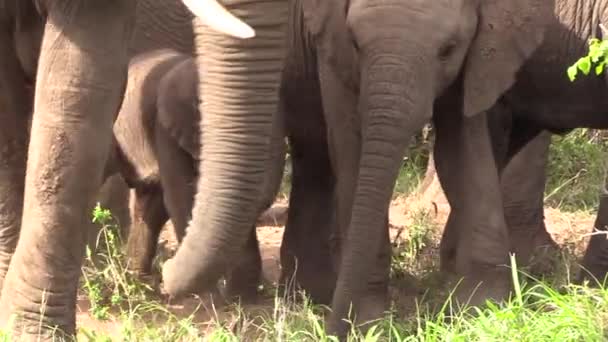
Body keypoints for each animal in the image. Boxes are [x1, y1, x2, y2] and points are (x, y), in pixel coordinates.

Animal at [104, 48, 284, 300]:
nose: (166, 270)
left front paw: (242, 298)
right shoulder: (164, 127)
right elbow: (183, 198)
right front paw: (210, 297)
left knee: (148, 207)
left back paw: (138, 284)